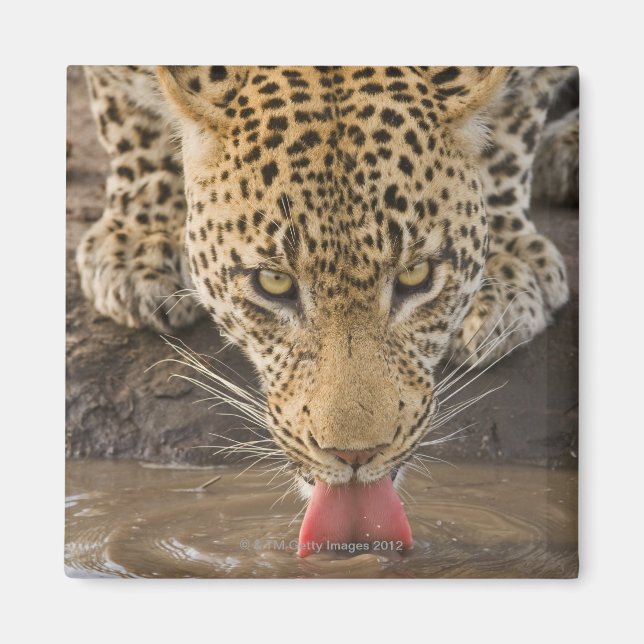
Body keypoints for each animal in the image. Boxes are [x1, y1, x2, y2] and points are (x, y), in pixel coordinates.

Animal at [77, 66, 576, 549]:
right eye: (274, 283)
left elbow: (511, 136)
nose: (355, 455)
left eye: (415, 276)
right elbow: (129, 123)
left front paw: (506, 269)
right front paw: (139, 239)